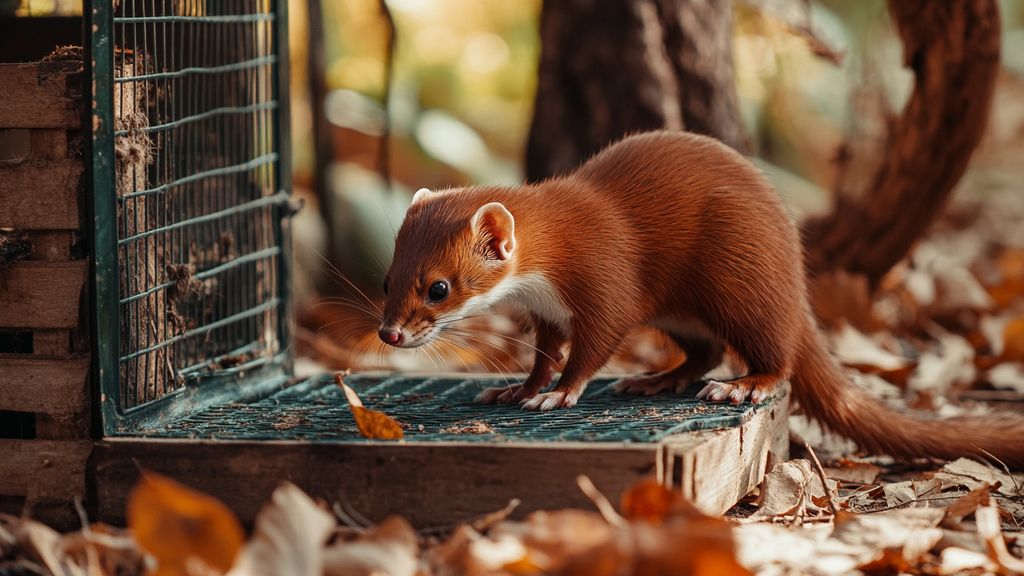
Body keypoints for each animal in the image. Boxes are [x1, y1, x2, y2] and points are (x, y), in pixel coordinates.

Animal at [376, 131, 1024, 467]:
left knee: (777, 356)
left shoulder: (607, 280)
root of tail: (796, 281)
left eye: (438, 287)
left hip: (741, 284)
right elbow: (546, 353)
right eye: (387, 278)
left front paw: (558, 394)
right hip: (682, 312)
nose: (388, 333)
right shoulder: (548, 311)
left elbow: (595, 344)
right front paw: (516, 388)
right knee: (705, 351)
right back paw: (655, 379)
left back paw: (741, 385)